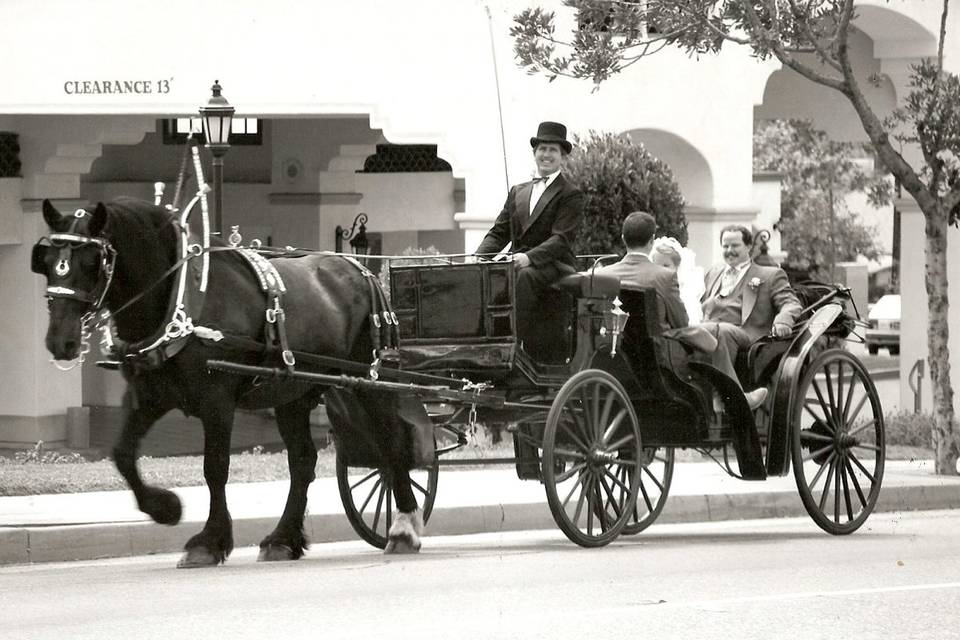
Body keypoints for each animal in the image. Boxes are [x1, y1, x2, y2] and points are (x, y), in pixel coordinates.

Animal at [33, 198, 424, 568]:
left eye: (92, 262)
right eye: (47, 260)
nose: (60, 341)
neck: (179, 302)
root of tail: (362, 268)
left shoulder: (217, 401)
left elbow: (215, 467)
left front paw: (208, 542)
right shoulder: (149, 398)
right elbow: (123, 454)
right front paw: (165, 507)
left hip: (370, 380)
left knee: (392, 441)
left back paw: (404, 526)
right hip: (292, 392)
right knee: (302, 461)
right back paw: (283, 539)